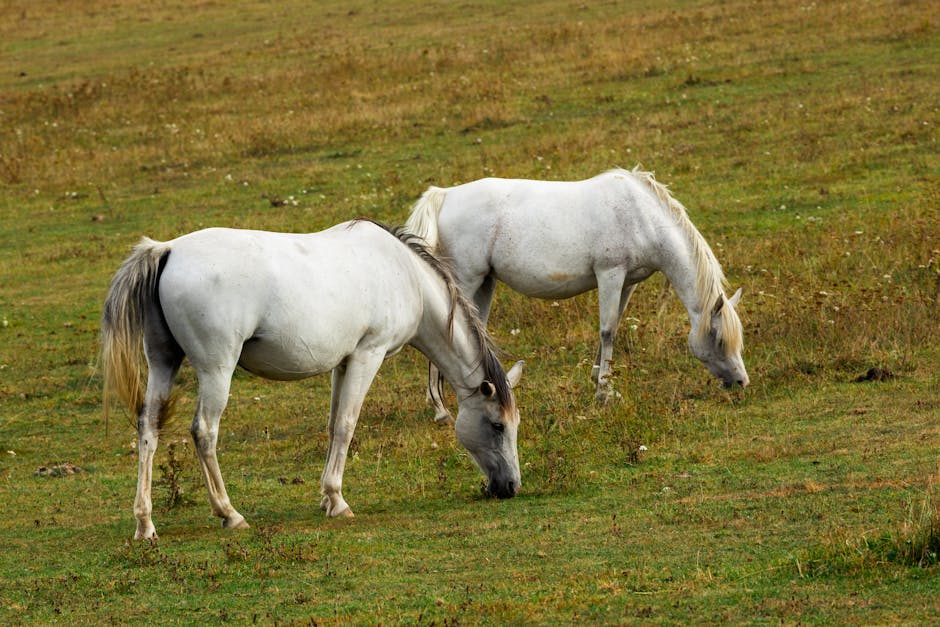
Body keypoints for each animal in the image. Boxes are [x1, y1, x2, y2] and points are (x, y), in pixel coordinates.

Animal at [103, 220, 528, 540]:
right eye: (497, 425)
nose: (510, 487)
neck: (405, 274)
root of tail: (168, 250)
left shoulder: (343, 362)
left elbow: (332, 424)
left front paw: (326, 497)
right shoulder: (367, 355)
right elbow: (346, 425)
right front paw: (337, 501)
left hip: (163, 362)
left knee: (148, 429)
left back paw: (145, 523)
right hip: (216, 370)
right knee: (204, 432)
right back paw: (229, 513)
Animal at [406, 167, 748, 422]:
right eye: (719, 339)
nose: (741, 382)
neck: (641, 216)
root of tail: (445, 195)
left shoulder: (627, 282)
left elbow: (612, 328)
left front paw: (601, 382)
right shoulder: (610, 274)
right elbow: (608, 331)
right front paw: (604, 393)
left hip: (484, 282)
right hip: (466, 279)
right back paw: (441, 409)